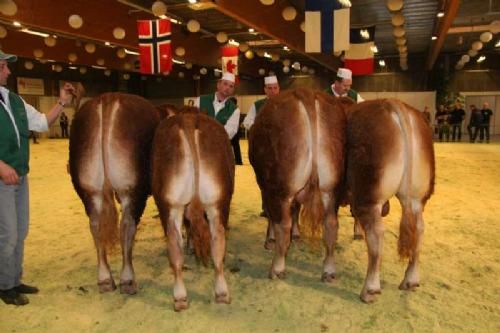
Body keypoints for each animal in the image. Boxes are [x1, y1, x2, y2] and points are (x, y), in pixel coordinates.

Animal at [151, 107, 235, 312]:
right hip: (217, 202)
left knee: (175, 247)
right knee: (217, 244)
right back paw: (221, 293)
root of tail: (188, 118)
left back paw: (180, 297)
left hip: (170, 206)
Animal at [249, 87, 348, 280]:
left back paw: (277, 268)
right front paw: (297, 236)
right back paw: (329, 271)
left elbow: (274, 215)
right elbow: (295, 209)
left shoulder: (265, 185)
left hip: (281, 187)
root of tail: (305, 93)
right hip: (331, 188)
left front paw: (270, 240)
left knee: (283, 224)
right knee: (331, 224)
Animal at [346, 98, 436, 300]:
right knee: (419, 229)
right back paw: (410, 280)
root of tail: (394, 104)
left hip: (370, 194)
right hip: (416, 197)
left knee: (377, 233)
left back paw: (370, 289)